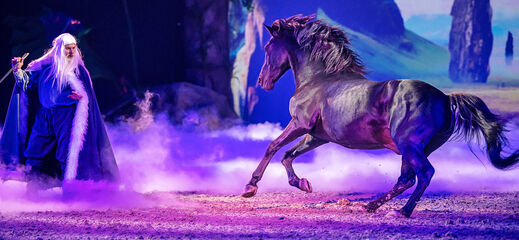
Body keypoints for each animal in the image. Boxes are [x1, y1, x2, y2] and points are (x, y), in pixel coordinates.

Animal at [243, 15, 519, 218]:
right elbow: (287, 155)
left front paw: (250, 187)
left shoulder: (300, 124)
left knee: (424, 174)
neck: (319, 79)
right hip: (414, 148)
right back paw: (371, 205)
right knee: (406, 179)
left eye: (267, 47)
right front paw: (303, 183)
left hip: (409, 145)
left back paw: (402, 212)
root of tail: (445, 98)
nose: (261, 81)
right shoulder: (317, 136)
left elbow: (273, 147)